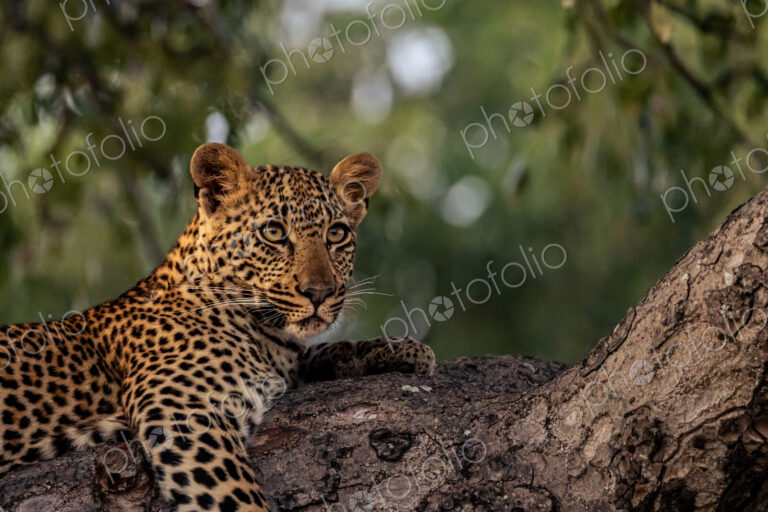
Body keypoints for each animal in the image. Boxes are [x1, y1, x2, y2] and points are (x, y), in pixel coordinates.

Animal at [0, 143, 436, 511]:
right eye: (274, 232)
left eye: (337, 234)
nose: (319, 292)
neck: (267, 335)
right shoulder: (180, 408)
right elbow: (233, 494)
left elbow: (322, 352)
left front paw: (402, 350)